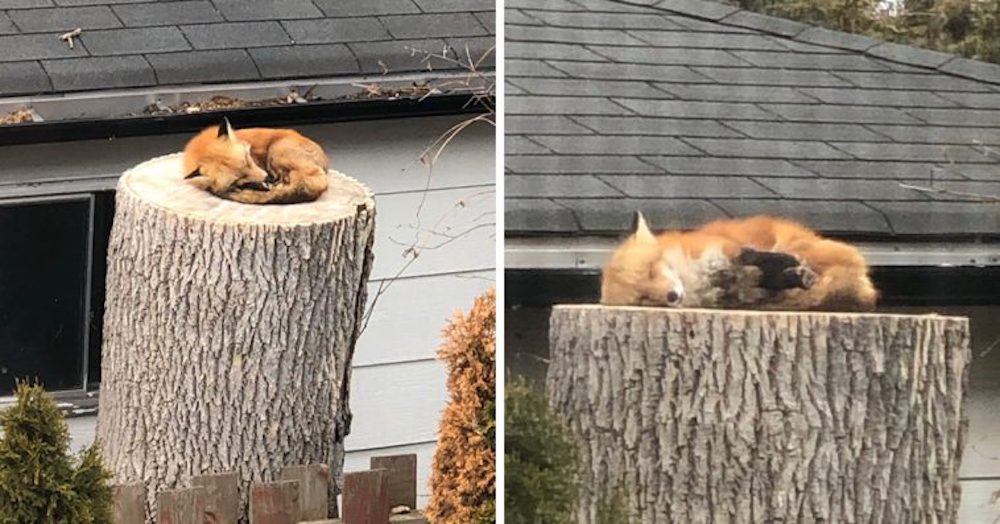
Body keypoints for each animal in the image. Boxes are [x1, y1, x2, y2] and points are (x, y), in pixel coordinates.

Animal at [600, 212, 876, 312]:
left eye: (650, 271)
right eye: (643, 298)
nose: (671, 296)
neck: (696, 280)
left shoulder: (725, 250)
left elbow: (749, 259)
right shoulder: (735, 292)